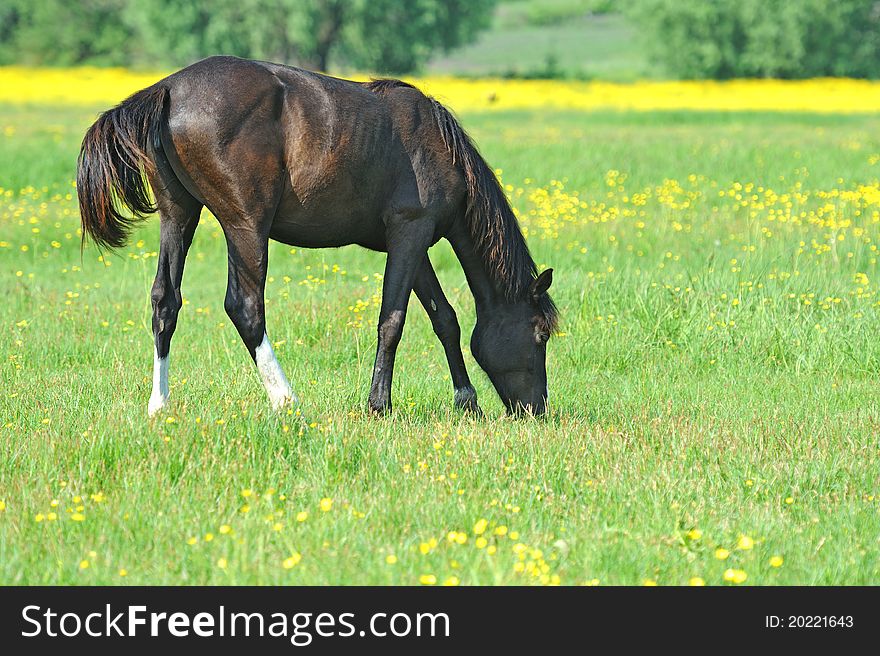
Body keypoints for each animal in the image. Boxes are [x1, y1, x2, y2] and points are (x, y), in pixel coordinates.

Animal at [75, 56, 556, 418]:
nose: (536, 410)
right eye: (540, 335)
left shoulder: (411, 245)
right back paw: (286, 399)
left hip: (178, 214)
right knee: (245, 307)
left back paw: (160, 405)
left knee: (165, 301)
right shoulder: (410, 232)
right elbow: (393, 320)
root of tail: (169, 89)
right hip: (245, 224)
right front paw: (379, 405)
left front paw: (466, 401)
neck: (437, 147)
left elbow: (445, 319)